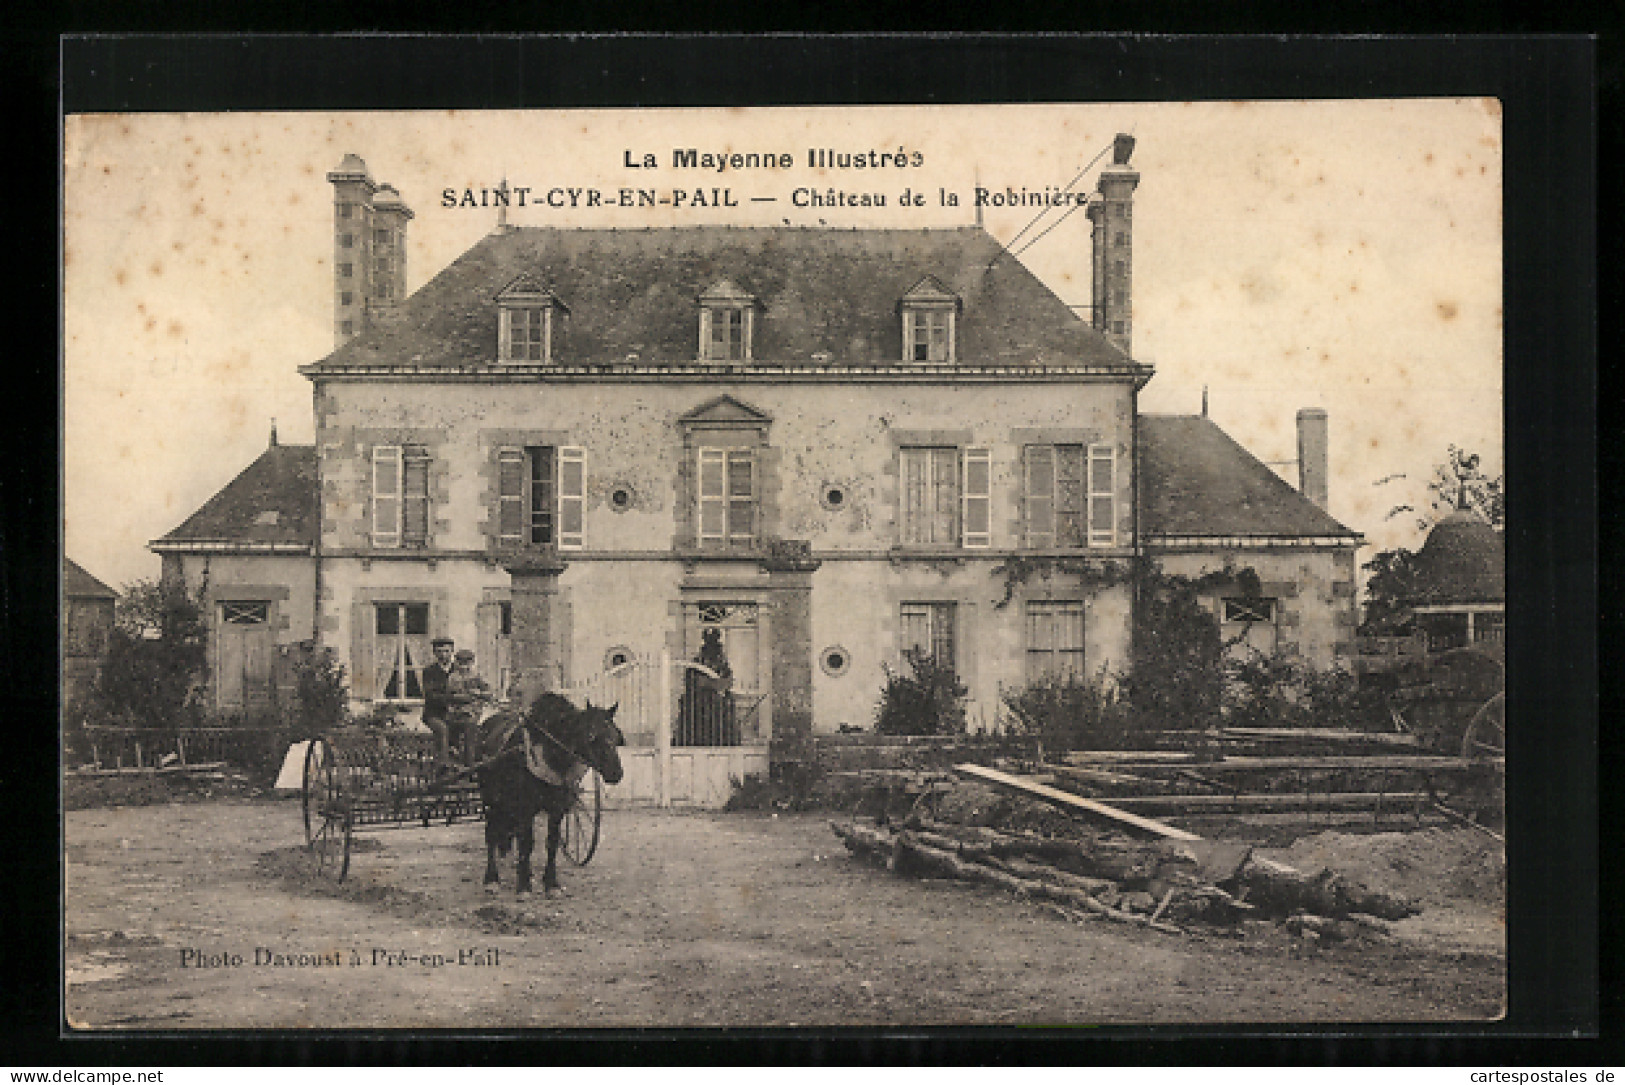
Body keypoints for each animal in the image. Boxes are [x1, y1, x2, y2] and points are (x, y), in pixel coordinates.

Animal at [474, 695, 624, 896]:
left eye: (616, 735)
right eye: (591, 736)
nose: (616, 772)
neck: (549, 751)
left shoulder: (557, 808)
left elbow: (551, 842)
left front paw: (551, 884)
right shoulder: (525, 807)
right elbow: (526, 843)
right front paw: (523, 886)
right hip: (490, 798)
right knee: (491, 832)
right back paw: (492, 879)